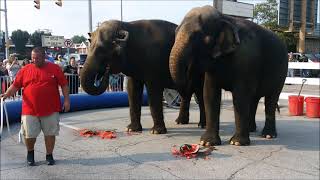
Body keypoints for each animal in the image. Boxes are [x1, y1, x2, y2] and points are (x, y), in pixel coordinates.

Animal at [169, 5, 288, 146]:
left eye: (198, 37)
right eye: (175, 32)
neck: (225, 17)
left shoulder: (246, 59)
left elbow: (240, 96)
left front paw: (237, 143)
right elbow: (210, 94)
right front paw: (207, 143)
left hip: (281, 72)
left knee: (271, 99)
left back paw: (268, 135)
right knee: (254, 99)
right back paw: (251, 129)